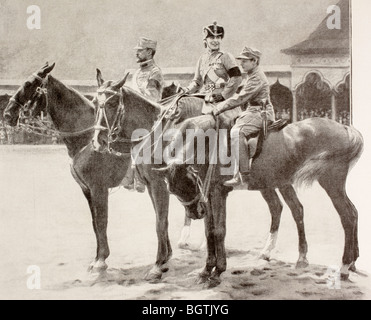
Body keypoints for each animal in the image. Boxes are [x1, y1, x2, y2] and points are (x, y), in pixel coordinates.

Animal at [2, 62, 173, 280]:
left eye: (29, 84)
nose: (7, 114)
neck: (86, 137)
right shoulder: (86, 190)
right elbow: (94, 223)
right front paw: (97, 259)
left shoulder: (98, 188)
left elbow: (101, 221)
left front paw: (101, 261)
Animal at [91, 72, 364, 288]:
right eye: (95, 102)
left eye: (112, 102)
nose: (98, 140)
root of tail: (346, 129)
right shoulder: (198, 192)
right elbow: (209, 229)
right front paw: (205, 269)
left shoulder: (197, 191)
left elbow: (198, 228)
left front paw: (171, 266)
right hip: (279, 181)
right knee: (297, 209)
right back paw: (322, 260)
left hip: (330, 181)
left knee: (346, 215)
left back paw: (343, 266)